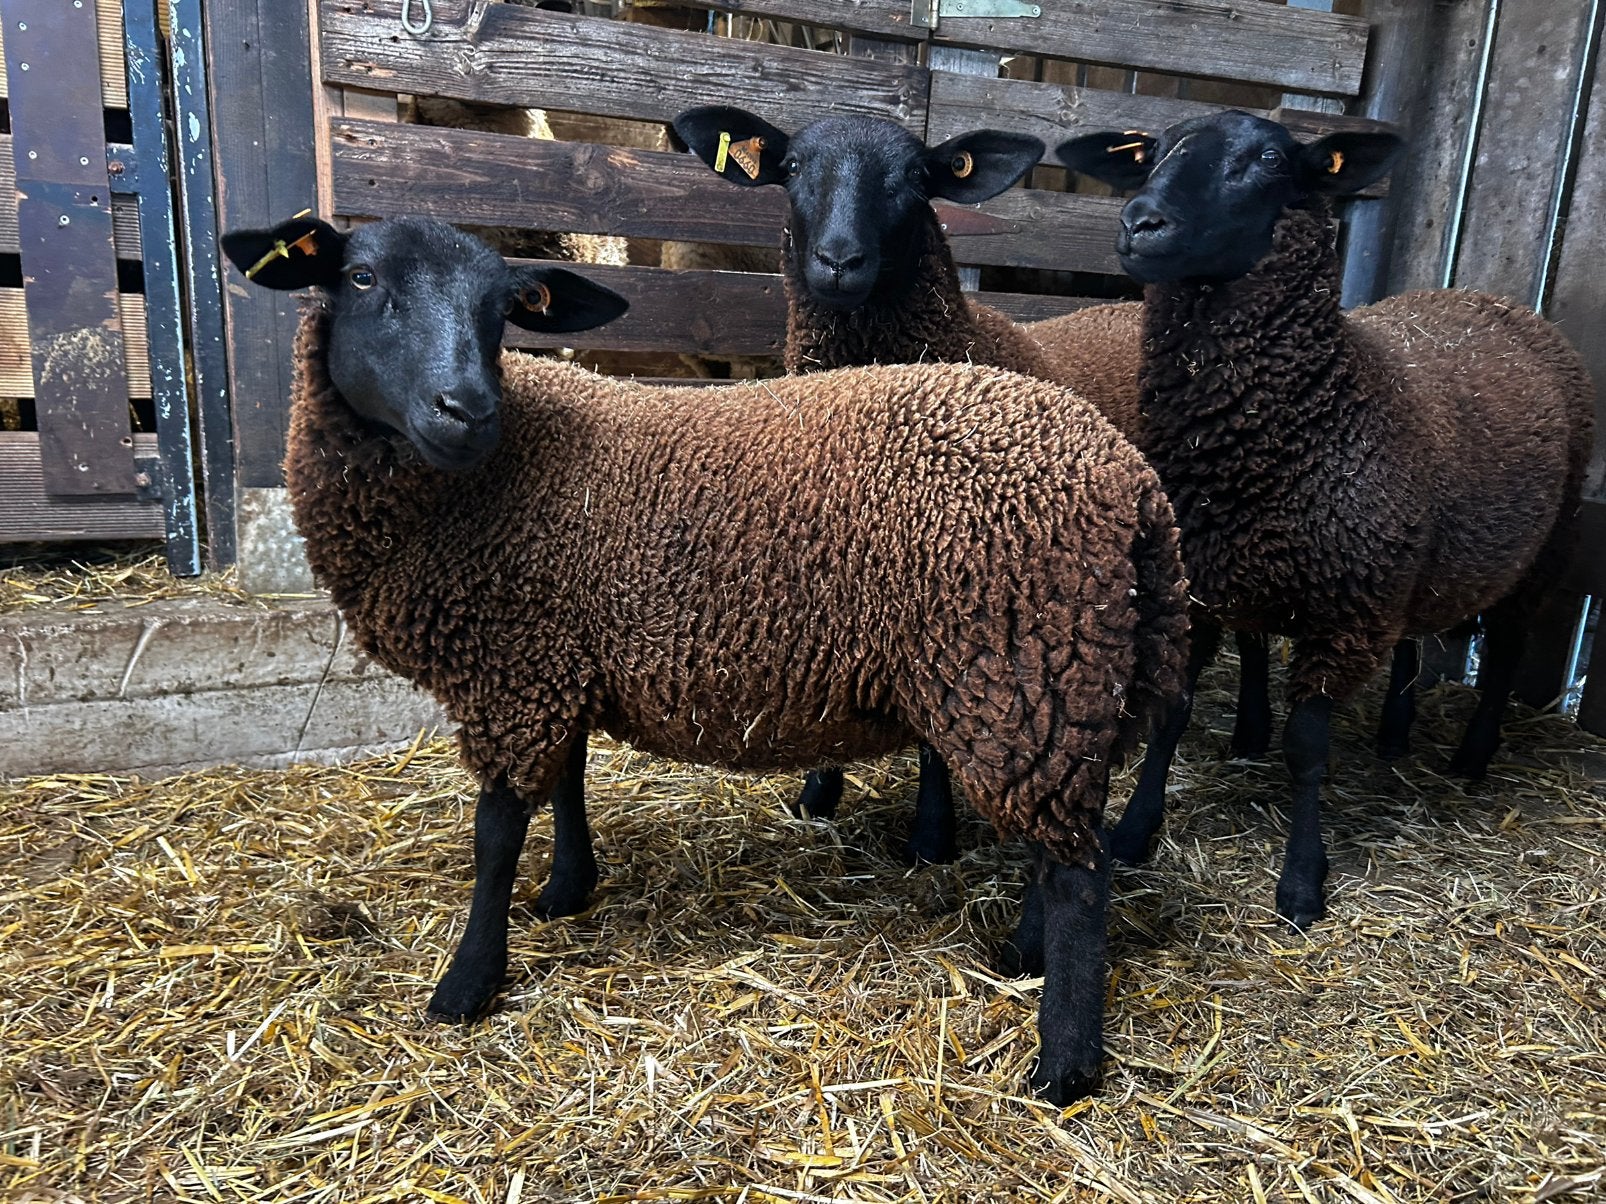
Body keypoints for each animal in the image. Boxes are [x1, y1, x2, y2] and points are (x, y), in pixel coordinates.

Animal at [220, 213, 1190, 1102]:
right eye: (363, 278)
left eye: (503, 310)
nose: (467, 409)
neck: (488, 475)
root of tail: (1132, 481)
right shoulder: (558, 656)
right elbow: (568, 783)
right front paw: (568, 888)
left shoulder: (513, 671)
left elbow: (495, 836)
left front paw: (468, 982)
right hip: (1037, 689)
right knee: (1060, 845)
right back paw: (1023, 954)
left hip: (1022, 669)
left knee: (1080, 876)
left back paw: (1063, 1065)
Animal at [1055, 110, 1596, 928]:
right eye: (1149, 155)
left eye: (1271, 161)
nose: (1140, 222)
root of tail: (1489, 300)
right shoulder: (1202, 587)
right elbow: (1172, 716)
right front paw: (1134, 831)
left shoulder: (1347, 610)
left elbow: (1308, 750)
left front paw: (1302, 882)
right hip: (1416, 565)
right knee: (1415, 644)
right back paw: (1395, 734)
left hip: (1542, 550)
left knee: (1504, 651)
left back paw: (1472, 757)